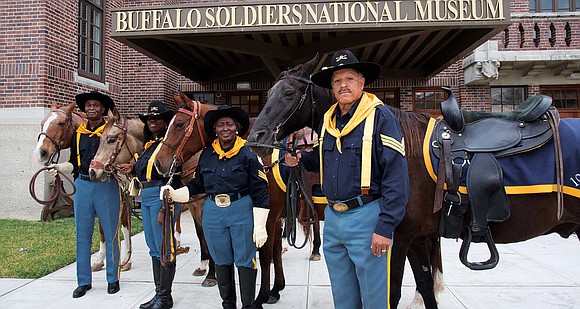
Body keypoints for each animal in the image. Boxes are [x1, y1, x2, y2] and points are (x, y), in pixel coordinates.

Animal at [245, 54, 580, 306]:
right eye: (269, 94)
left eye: (289, 93)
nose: (256, 138)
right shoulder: (418, 237)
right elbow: (426, 288)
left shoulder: (396, 238)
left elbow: (391, 293)